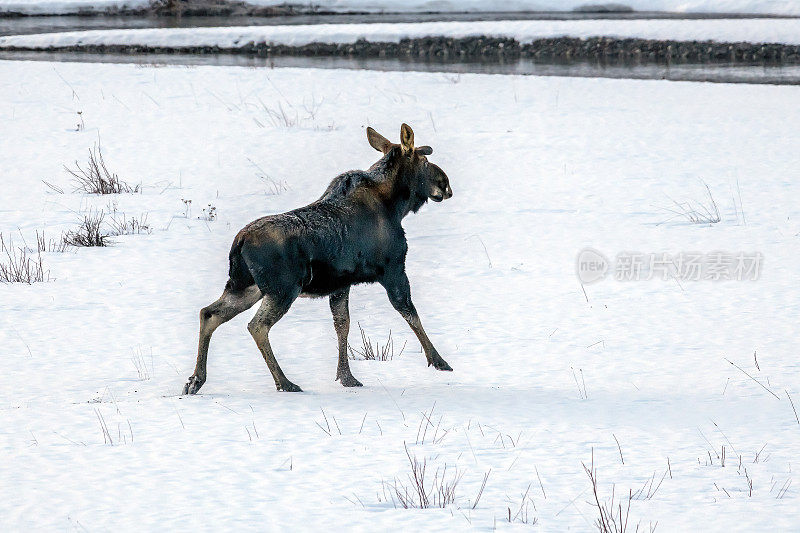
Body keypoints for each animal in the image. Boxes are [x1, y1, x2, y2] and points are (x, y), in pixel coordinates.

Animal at [184, 122, 454, 392]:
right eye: (424, 160)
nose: (446, 185)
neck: (397, 206)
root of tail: (239, 242)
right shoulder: (394, 269)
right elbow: (410, 313)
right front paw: (439, 361)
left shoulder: (342, 283)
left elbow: (342, 325)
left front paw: (347, 377)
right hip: (282, 288)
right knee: (257, 325)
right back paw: (285, 382)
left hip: (245, 286)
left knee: (209, 313)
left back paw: (196, 380)